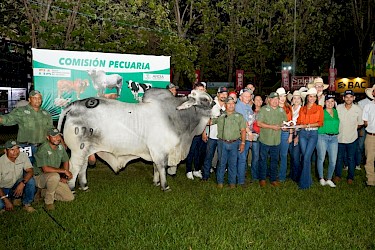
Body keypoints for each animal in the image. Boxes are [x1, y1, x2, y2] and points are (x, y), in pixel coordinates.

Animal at [57, 88, 213, 191]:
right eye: (205, 100)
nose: (219, 109)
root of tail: (75, 104)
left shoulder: (155, 151)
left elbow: (156, 167)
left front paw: (156, 182)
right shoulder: (160, 151)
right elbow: (162, 167)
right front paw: (165, 186)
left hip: (86, 149)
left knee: (83, 167)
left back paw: (84, 186)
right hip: (78, 149)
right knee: (74, 167)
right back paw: (71, 189)